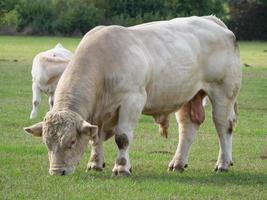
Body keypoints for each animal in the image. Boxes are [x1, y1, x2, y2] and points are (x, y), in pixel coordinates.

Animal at [25, 16, 243, 177]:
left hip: (223, 91)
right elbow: (95, 138)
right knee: (187, 128)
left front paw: (122, 168)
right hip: (188, 95)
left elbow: (122, 137)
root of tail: (212, 20)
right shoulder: (97, 115)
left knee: (223, 126)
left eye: (71, 142)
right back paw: (178, 163)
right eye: (47, 143)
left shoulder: (132, 100)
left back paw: (223, 163)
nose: (57, 171)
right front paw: (95, 163)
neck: (103, 65)